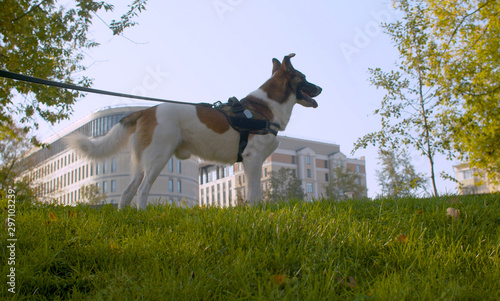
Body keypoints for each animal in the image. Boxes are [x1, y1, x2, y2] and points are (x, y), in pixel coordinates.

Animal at [66, 54, 322, 209]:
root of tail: (147, 110)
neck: (263, 107)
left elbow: (256, 193)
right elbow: (253, 194)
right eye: (304, 78)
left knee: (127, 192)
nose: (320, 88)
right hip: (158, 158)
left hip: (142, 162)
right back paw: (142, 215)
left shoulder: (255, 162)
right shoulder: (252, 159)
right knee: (142, 190)